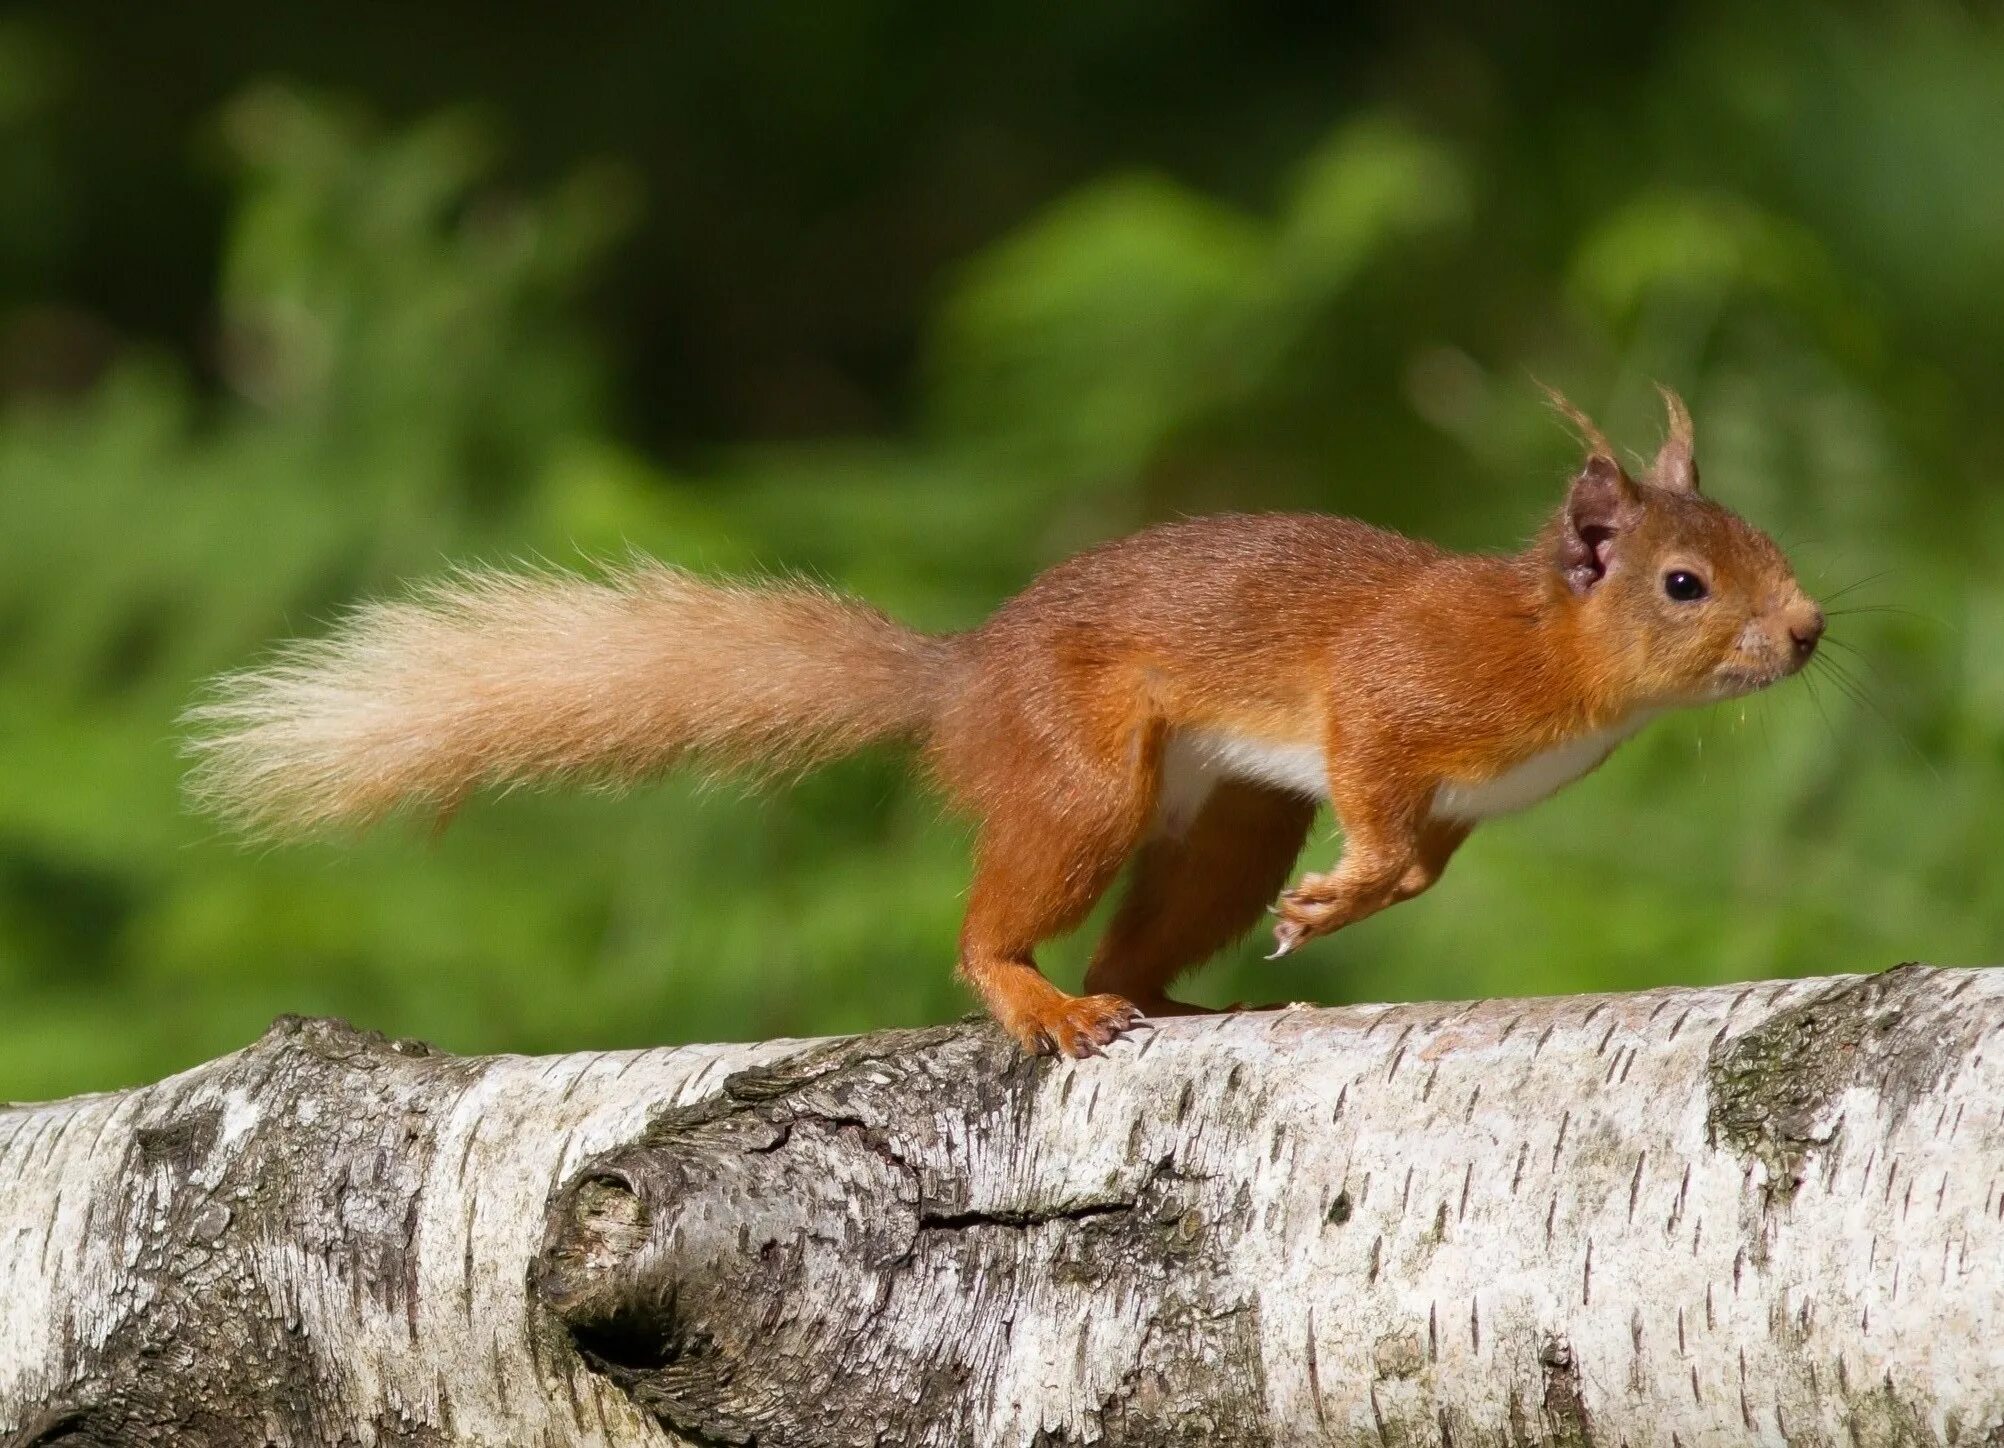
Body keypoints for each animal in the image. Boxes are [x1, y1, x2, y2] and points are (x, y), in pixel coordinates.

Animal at [191, 390, 1835, 1057]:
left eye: (1764, 540)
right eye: (1687, 583)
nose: (1811, 629)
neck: (1555, 659)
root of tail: (967, 675)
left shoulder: (1447, 798)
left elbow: (1419, 861)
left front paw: (1342, 908)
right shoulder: (1392, 694)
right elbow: (1379, 795)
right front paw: (1347, 895)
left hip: (1225, 819)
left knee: (1145, 934)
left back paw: (1171, 996)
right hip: (1085, 774)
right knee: (1000, 927)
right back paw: (1041, 1002)